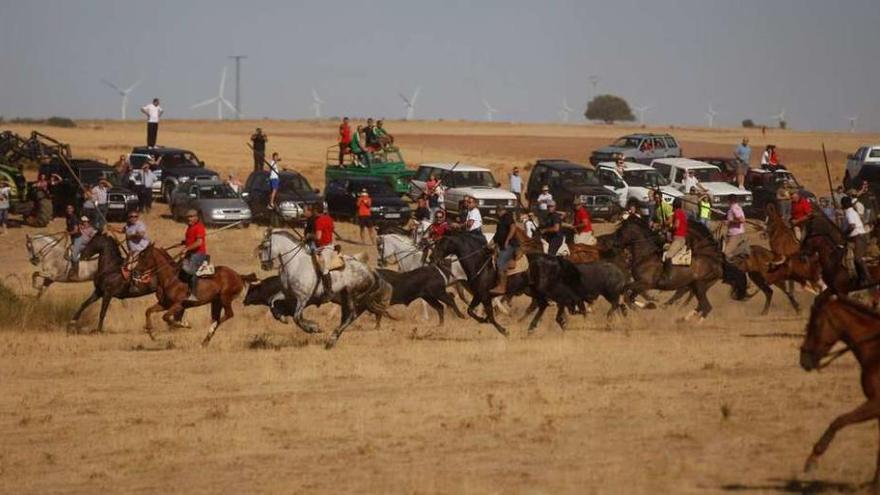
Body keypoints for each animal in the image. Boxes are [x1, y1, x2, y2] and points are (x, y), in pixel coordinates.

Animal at [256, 229, 390, 348]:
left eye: (265, 247)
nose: (264, 266)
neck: (295, 264)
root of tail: (371, 271)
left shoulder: (303, 298)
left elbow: (297, 318)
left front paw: (313, 328)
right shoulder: (287, 293)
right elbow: (271, 301)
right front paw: (282, 318)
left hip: (351, 295)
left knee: (351, 316)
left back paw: (331, 340)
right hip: (347, 299)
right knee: (348, 317)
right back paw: (333, 339)